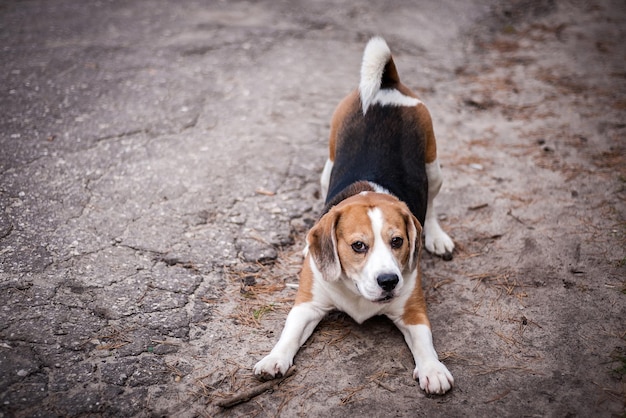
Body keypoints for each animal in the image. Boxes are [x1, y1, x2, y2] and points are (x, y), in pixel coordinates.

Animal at [252, 37, 454, 394]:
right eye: (358, 246)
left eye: (397, 241)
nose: (389, 281)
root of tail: (386, 86)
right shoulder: (307, 305)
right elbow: (289, 333)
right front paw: (274, 358)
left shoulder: (414, 310)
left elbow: (425, 343)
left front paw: (432, 369)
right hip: (328, 166)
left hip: (434, 167)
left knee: (430, 207)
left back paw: (436, 236)